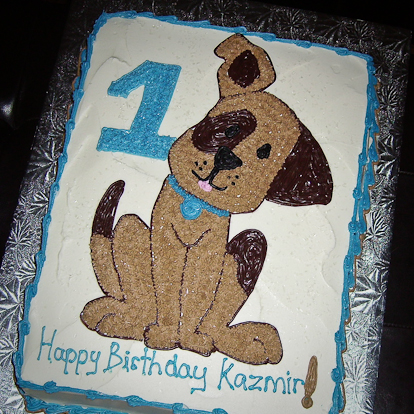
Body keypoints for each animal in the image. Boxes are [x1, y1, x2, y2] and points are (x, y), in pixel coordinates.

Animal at [81, 34, 333, 365]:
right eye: (232, 127)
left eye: (264, 153)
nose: (226, 158)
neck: (197, 205)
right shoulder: (165, 239)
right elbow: (169, 287)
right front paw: (165, 334)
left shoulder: (211, 249)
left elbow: (197, 294)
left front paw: (187, 339)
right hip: (129, 230)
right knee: (137, 278)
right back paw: (125, 318)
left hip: (249, 249)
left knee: (220, 306)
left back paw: (235, 339)